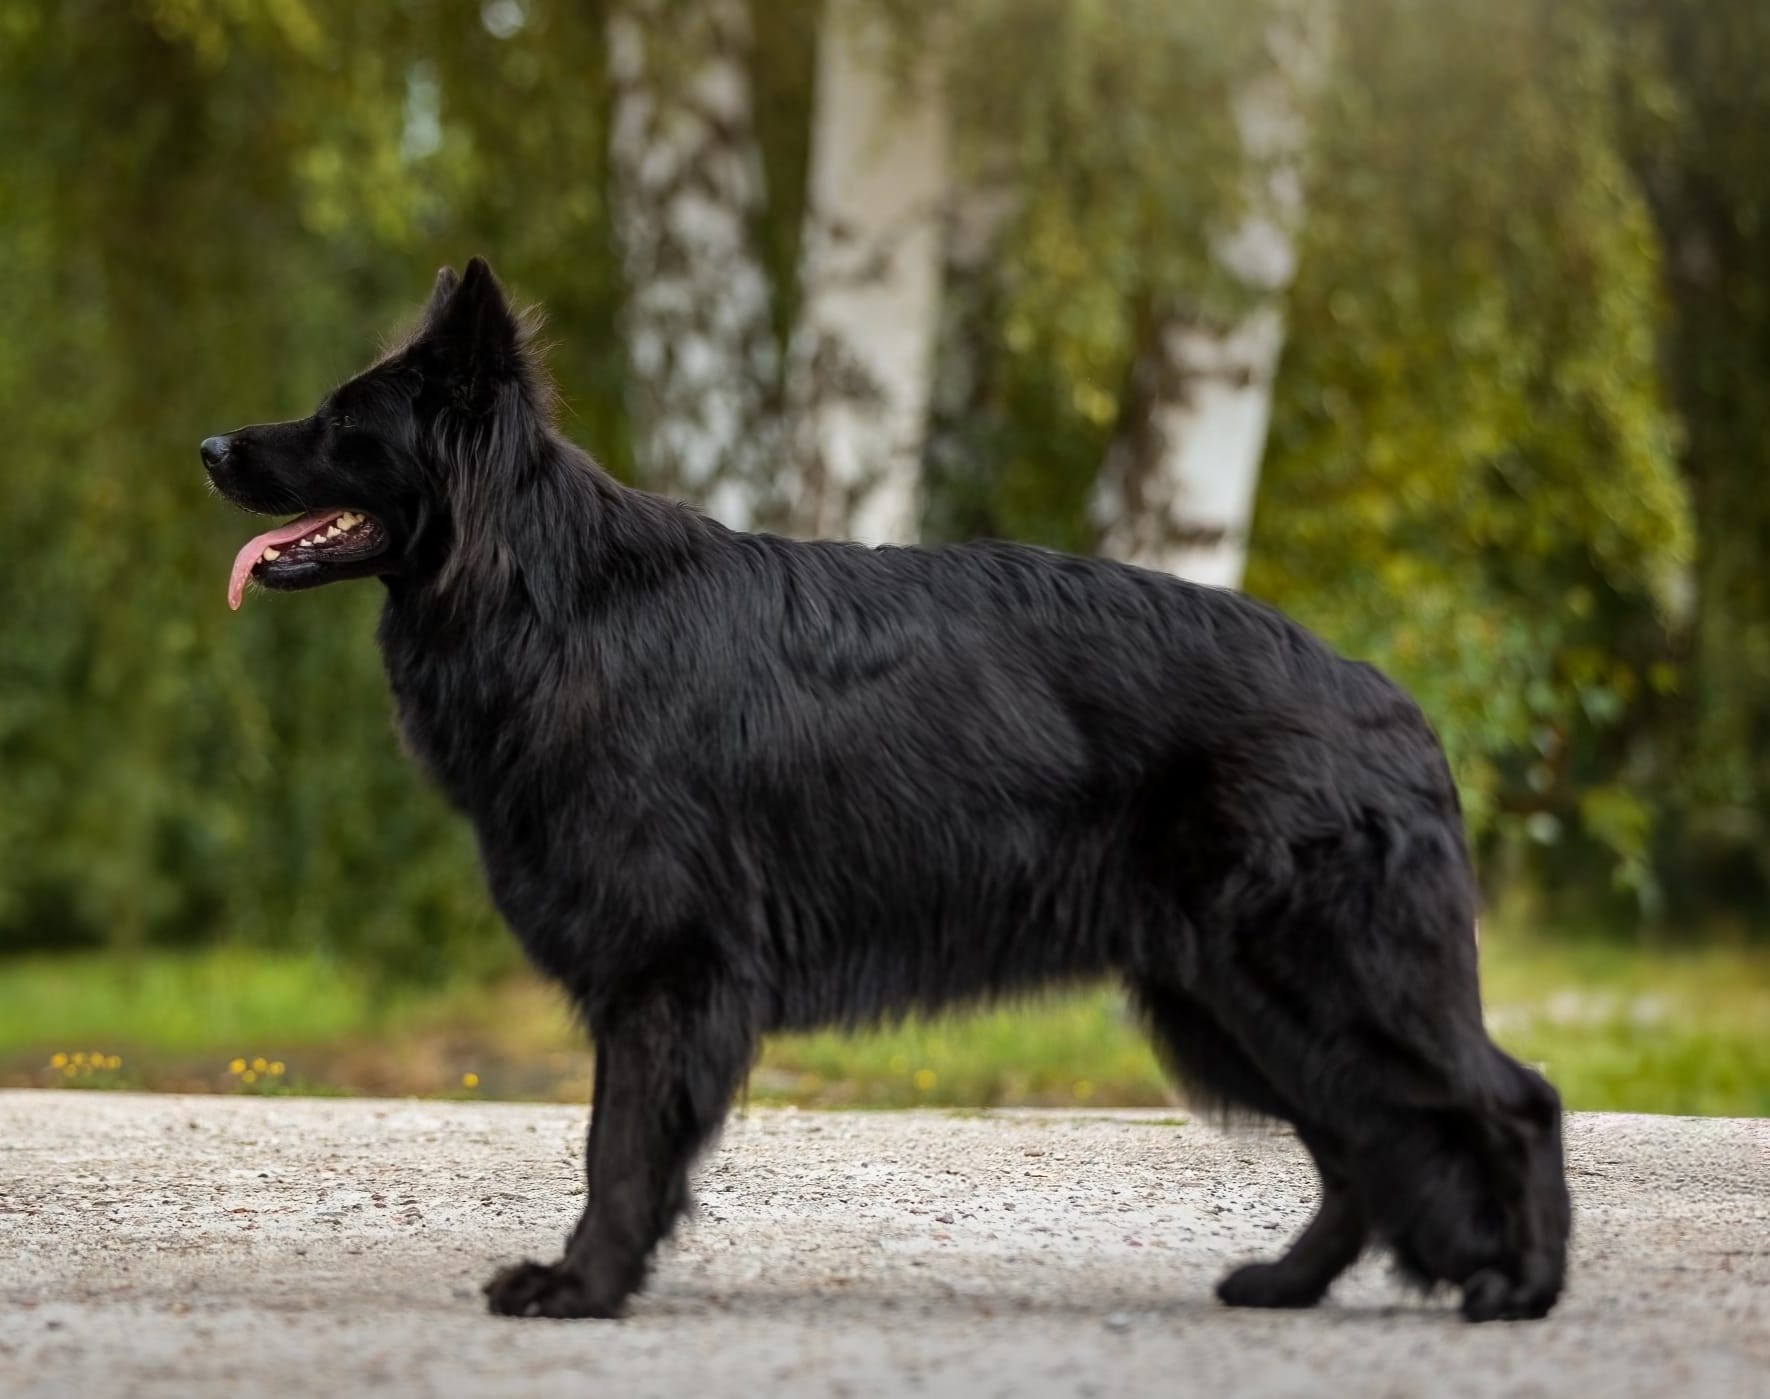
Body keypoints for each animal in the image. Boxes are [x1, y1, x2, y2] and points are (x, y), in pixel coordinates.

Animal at [203, 258, 1570, 1321]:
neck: (550, 600)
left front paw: (583, 1287)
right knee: (1361, 1150)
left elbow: (617, 1151)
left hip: (1320, 982)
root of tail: (1391, 704)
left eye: (343, 420)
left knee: (1513, 1101)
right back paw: (1293, 1285)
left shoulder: (666, 973)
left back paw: (1525, 1287)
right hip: (1234, 1004)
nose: (209, 446)